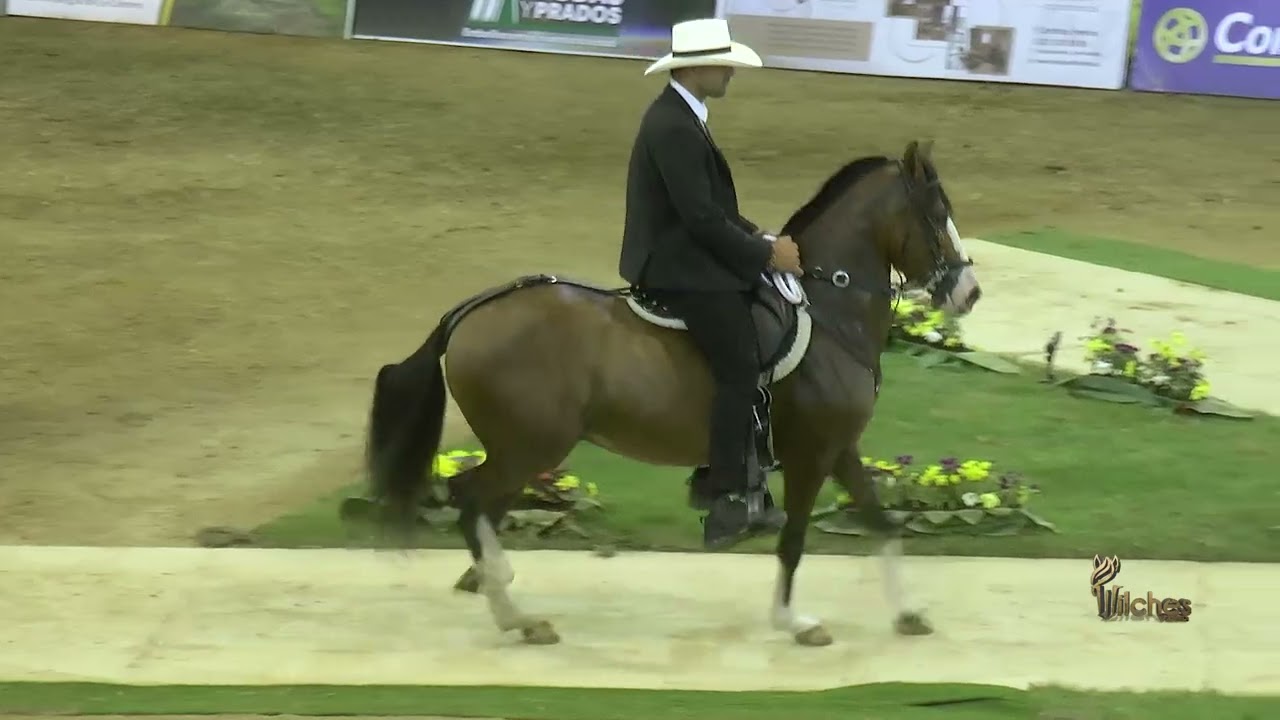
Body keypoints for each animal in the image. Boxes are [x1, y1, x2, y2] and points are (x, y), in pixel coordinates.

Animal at [363, 139, 982, 647]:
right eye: (937, 214)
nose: (970, 293)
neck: (828, 310)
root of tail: (471, 312)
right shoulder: (811, 454)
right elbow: (795, 540)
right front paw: (795, 622)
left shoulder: (840, 448)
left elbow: (882, 523)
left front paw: (909, 614)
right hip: (531, 447)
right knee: (470, 499)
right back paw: (517, 615)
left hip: (522, 449)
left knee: (478, 507)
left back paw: (497, 588)